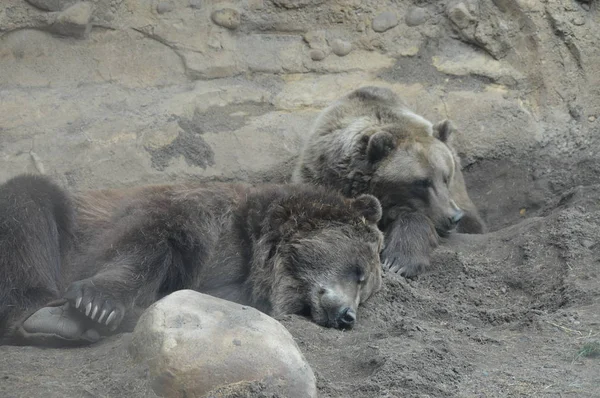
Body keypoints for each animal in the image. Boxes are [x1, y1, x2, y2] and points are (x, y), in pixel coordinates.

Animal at [0, 173, 382, 346]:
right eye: (359, 272)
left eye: (365, 293)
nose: (347, 316)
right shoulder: (197, 218)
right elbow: (146, 242)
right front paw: (98, 303)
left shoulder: (232, 280)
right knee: (28, 204)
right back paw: (45, 315)